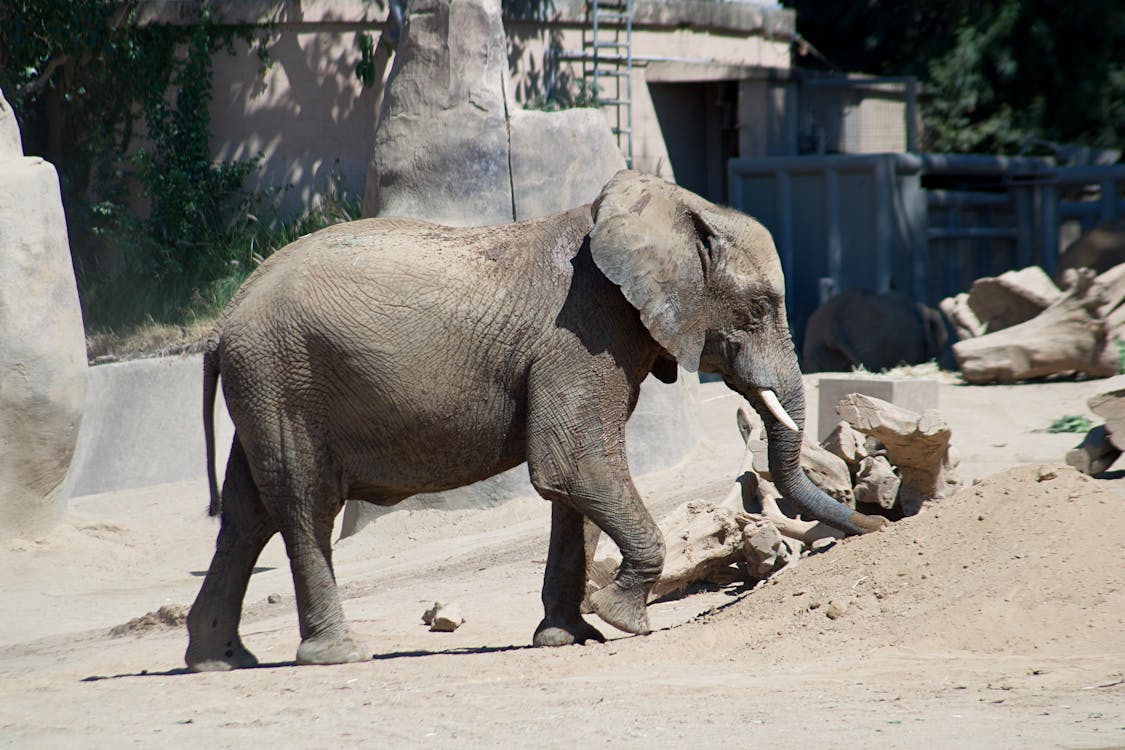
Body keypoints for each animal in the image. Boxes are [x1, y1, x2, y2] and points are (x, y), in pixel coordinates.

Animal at [186, 172, 886, 674]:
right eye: (761, 308)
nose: (876, 526)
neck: (666, 205)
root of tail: (221, 324)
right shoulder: (580, 333)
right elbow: (575, 465)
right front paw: (622, 622)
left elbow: (572, 486)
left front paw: (570, 637)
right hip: (285, 379)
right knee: (303, 505)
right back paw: (339, 656)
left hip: (267, 385)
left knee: (247, 514)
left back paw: (218, 662)